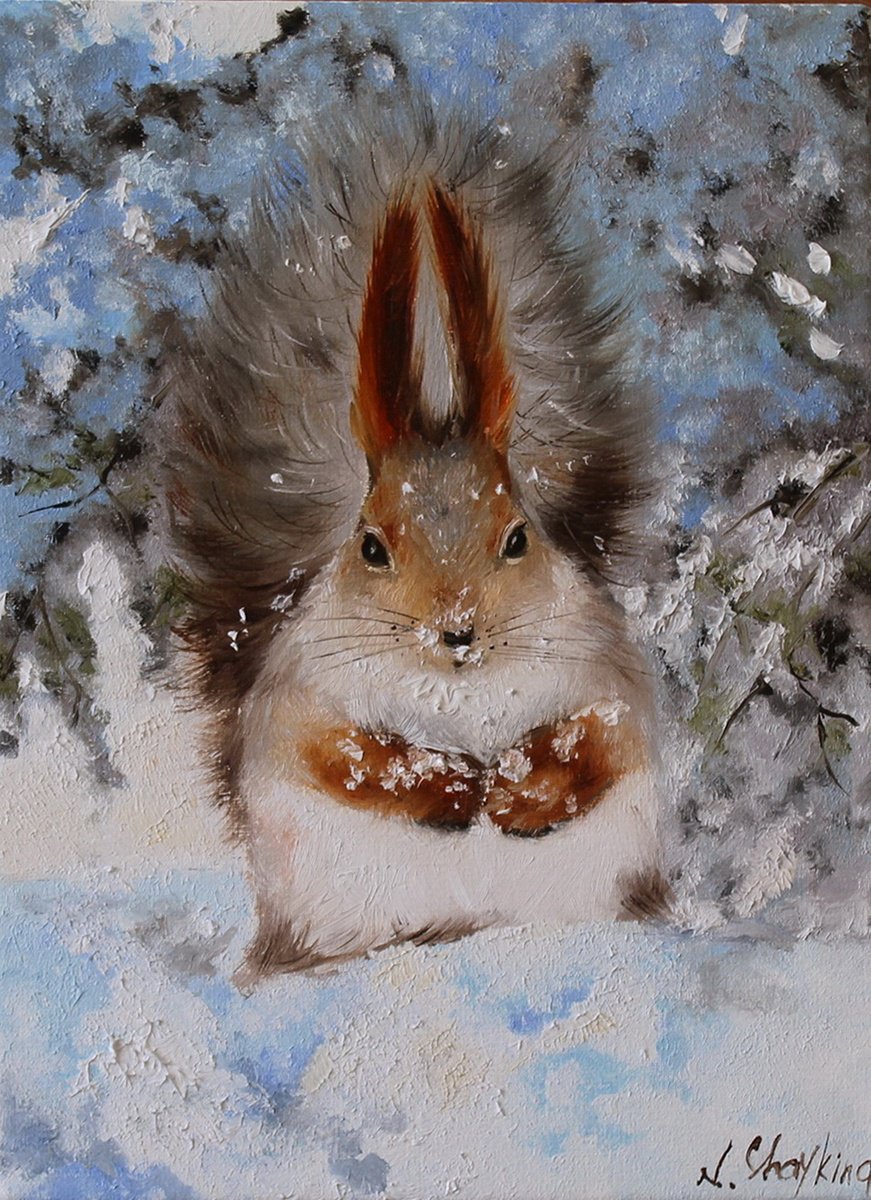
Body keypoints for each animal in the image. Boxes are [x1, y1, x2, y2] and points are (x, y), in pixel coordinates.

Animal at [161, 105, 667, 977]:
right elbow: (334, 753)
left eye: (517, 537)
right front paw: (445, 785)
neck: (454, 697)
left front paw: (520, 790)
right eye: (370, 546)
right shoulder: (297, 696)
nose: (456, 629)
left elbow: (602, 740)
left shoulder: (606, 677)